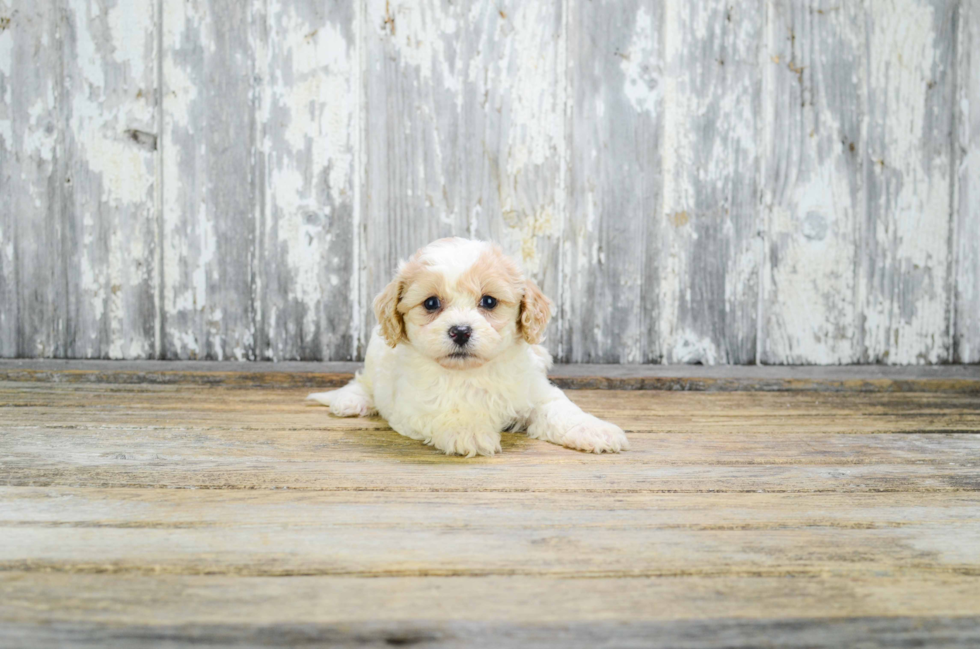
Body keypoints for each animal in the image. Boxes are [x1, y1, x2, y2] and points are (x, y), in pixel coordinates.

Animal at [306, 237, 628, 456]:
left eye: (489, 301)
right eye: (431, 303)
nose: (460, 331)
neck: (471, 372)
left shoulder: (536, 393)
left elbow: (562, 409)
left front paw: (594, 430)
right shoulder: (413, 406)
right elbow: (444, 411)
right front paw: (467, 430)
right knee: (363, 381)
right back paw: (351, 400)